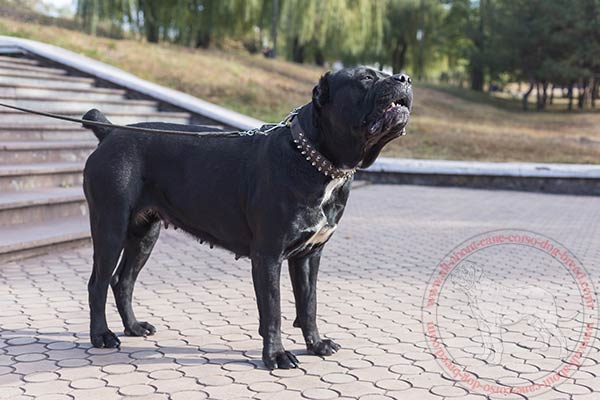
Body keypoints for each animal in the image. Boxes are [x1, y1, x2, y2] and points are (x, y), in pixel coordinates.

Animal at [83, 66, 412, 368]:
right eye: (366, 78)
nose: (405, 78)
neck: (318, 160)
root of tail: (110, 131)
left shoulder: (309, 255)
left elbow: (309, 303)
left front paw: (316, 344)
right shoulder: (268, 255)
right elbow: (273, 309)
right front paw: (276, 355)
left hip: (144, 234)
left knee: (123, 280)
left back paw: (133, 327)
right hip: (110, 226)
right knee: (98, 282)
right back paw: (101, 335)